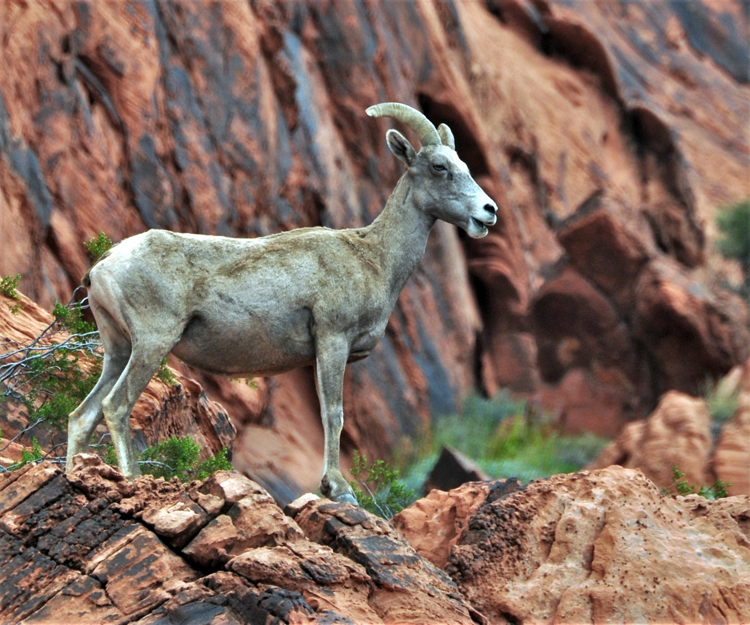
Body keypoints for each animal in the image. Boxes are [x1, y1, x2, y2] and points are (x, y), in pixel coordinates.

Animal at [66, 102, 500, 502]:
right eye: (440, 167)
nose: (488, 211)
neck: (375, 258)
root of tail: (104, 265)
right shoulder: (332, 340)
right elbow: (333, 414)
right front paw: (337, 489)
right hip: (152, 344)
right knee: (116, 406)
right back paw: (134, 480)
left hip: (118, 350)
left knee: (81, 416)